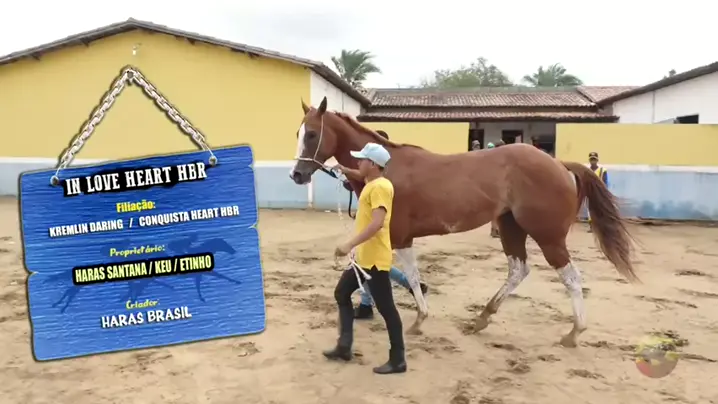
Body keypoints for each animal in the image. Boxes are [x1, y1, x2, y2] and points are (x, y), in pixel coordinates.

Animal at [289, 97, 638, 347]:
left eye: (312, 133)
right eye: (297, 133)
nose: (297, 174)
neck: (386, 169)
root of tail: (559, 164)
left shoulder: (399, 236)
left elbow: (410, 275)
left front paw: (419, 319)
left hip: (548, 235)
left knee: (571, 277)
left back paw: (574, 332)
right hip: (511, 227)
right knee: (519, 269)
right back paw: (482, 317)